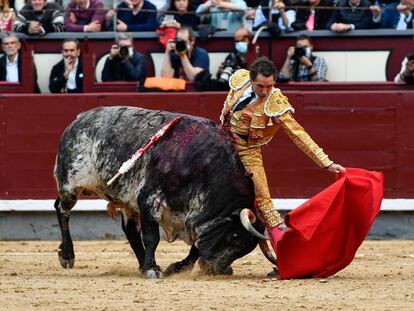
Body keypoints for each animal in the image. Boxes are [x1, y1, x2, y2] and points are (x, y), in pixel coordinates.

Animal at [53, 106, 272, 280]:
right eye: (234, 236)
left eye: (244, 249)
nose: (213, 269)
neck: (202, 166)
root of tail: (79, 119)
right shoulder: (149, 198)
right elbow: (152, 237)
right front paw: (152, 270)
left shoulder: (194, 220)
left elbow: (195, 248)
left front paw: (174, 268)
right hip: (70, 184)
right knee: (62, 209)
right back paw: (67, 255)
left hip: (126, 200)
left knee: (130, 230)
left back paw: (142, 263)